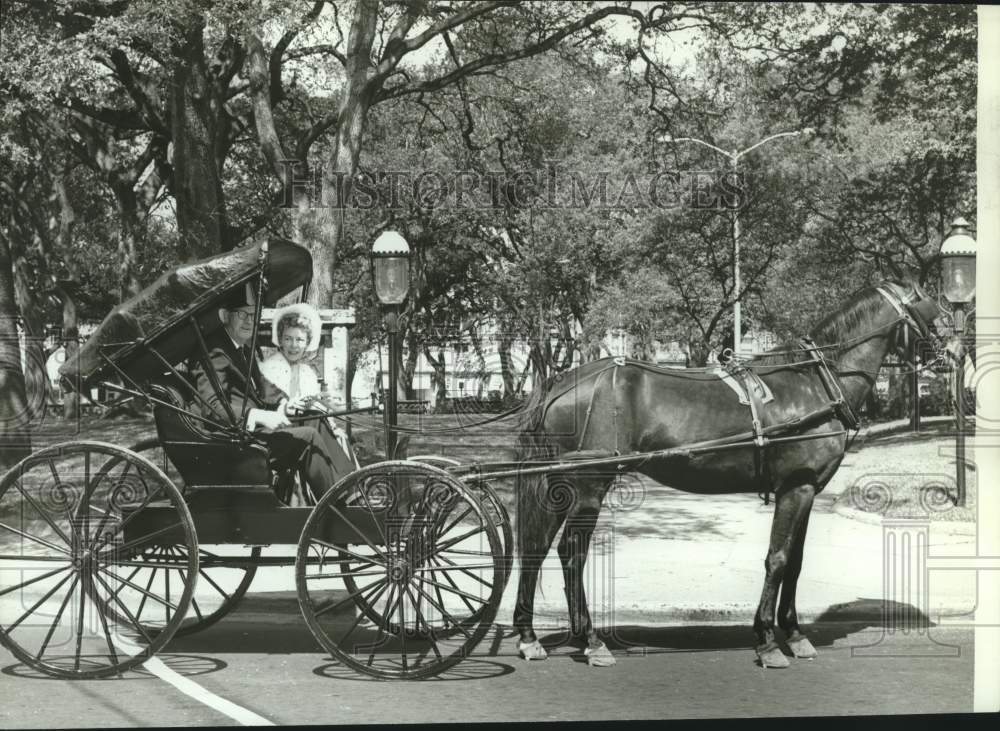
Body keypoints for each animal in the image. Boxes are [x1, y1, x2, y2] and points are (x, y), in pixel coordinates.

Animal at [516, 280, 944, 668]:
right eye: (927, 304)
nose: (946, 349)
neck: (815, 382)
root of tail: (560, 382)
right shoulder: (796, 487)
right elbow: (778, 558)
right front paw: (768, 640)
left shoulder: (805, 489)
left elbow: (796, 561)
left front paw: (794, 634)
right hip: (590, 484)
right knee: (572, 553)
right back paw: (591, 641)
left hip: (561, 486)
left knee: (537, 549)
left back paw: (528, 636)